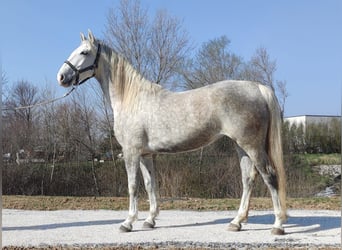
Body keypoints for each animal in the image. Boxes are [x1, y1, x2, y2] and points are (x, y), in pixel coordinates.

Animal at [57, 30, 288, 234]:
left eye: (84, 52)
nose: (61, 76)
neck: (131, 99)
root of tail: (257, 88)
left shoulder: (131, 152)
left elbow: (133, 186)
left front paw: (128, 222)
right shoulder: (146, 154)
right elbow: (150, 185)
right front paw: (150, 220)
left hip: (252, 146)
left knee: (270, 175)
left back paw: (277, 225)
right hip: (241, 146)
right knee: (247, 179)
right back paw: (236, 222)